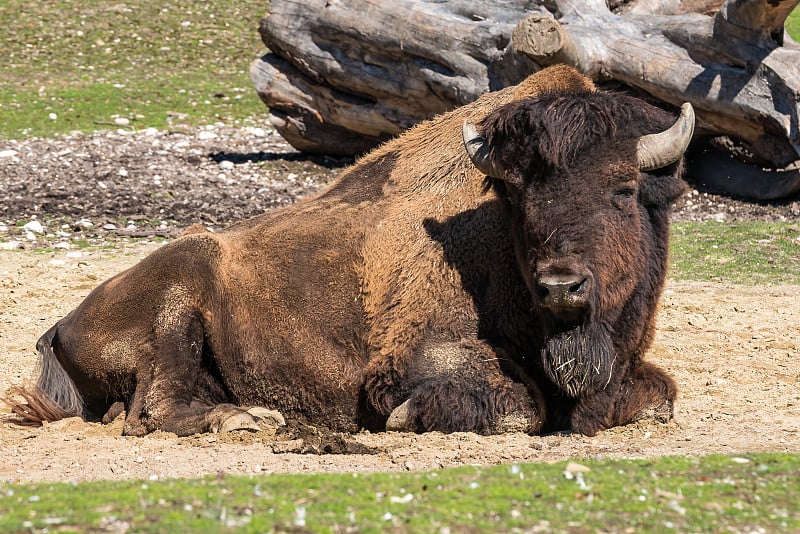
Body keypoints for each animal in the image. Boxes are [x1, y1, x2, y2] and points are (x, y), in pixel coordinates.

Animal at [6, 63, 692, 440]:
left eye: (624, 189)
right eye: (518, 198)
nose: (560, 287)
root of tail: (61, 326)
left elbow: (659, 397)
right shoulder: (419, 354)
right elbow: (516, 407)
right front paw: (404, 418)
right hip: (177, 303)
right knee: (155, 409)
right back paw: (248, 421)